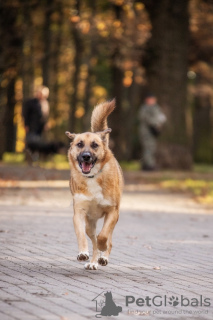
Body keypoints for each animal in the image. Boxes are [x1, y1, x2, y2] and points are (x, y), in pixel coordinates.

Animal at [65, 100, 123, 270]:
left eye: (95, 145)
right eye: (79, 144)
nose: (86, 156)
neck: (92, 177)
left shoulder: (112, 212)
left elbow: (103, 236)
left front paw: (104, 247)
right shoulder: (79, 212)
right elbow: (82, 236)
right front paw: (83, 253)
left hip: (113, 219)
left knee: (108, 239)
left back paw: (103, 257)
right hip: (89, 224)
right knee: (93, 240)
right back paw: (93, 262)